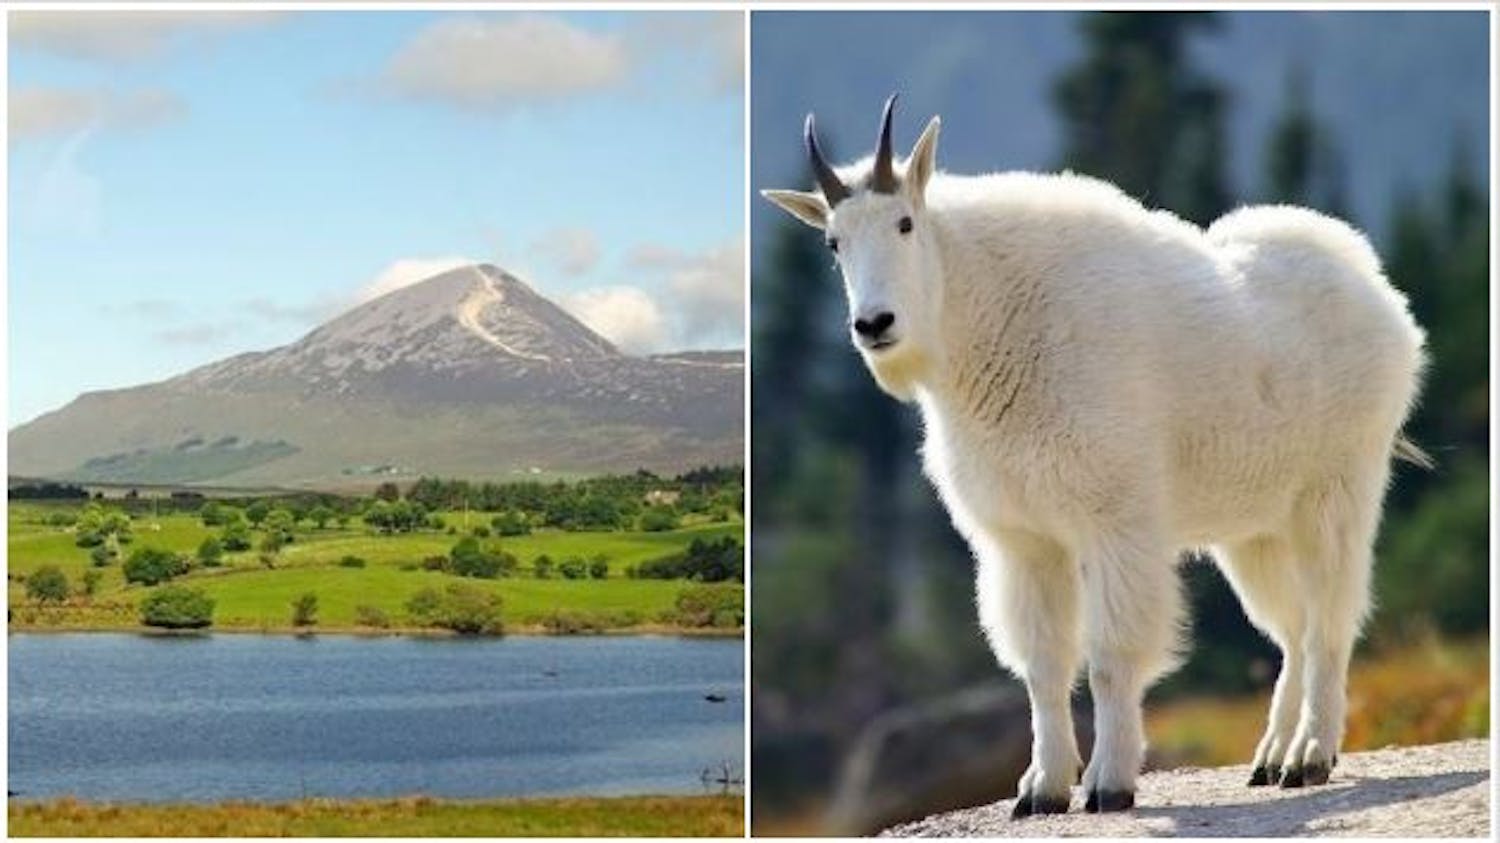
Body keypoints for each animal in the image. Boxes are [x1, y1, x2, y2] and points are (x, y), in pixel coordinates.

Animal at [768, 98, 1422, 816]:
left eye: (905, 223)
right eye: (834, 243)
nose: (874, 325)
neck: (988, 319)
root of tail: (1382, 294)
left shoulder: (1116, 522)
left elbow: (1109, 657)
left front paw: (1110, 783)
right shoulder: (1025, 541)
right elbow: (1043, 665)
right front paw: (1042, 788)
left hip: (1336, 492)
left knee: (1330, 620)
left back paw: (1310, 755)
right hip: (1257, 528)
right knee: (1293, 628)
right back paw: (1272, 757)